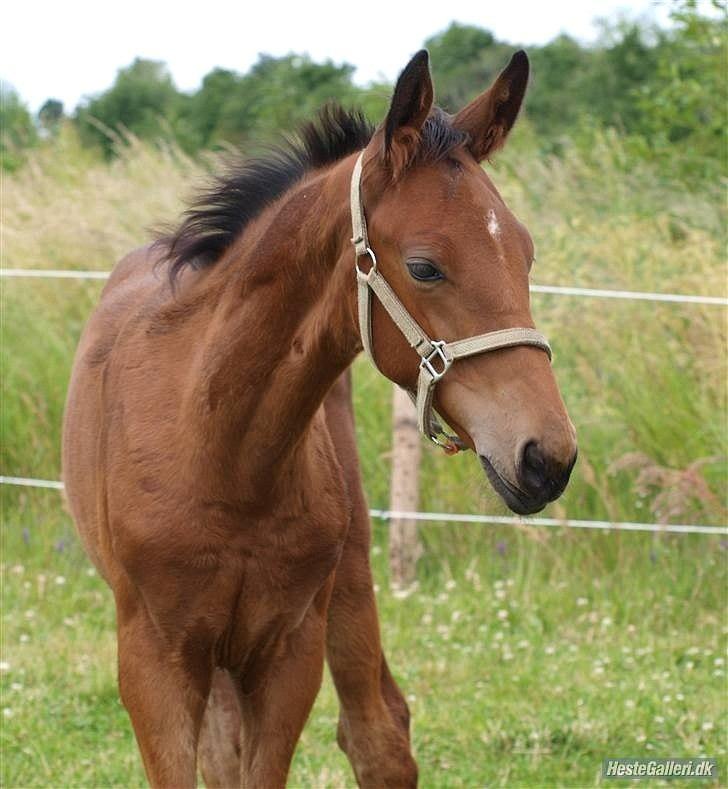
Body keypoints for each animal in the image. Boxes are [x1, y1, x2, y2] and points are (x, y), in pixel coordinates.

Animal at [64, 49, 576, 780]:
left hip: (348, 570)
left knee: (377, 731)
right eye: (424, 266)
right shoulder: (152, 661)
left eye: (525, 254)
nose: (546, 455)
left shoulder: (288, 651)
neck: (217, 449)